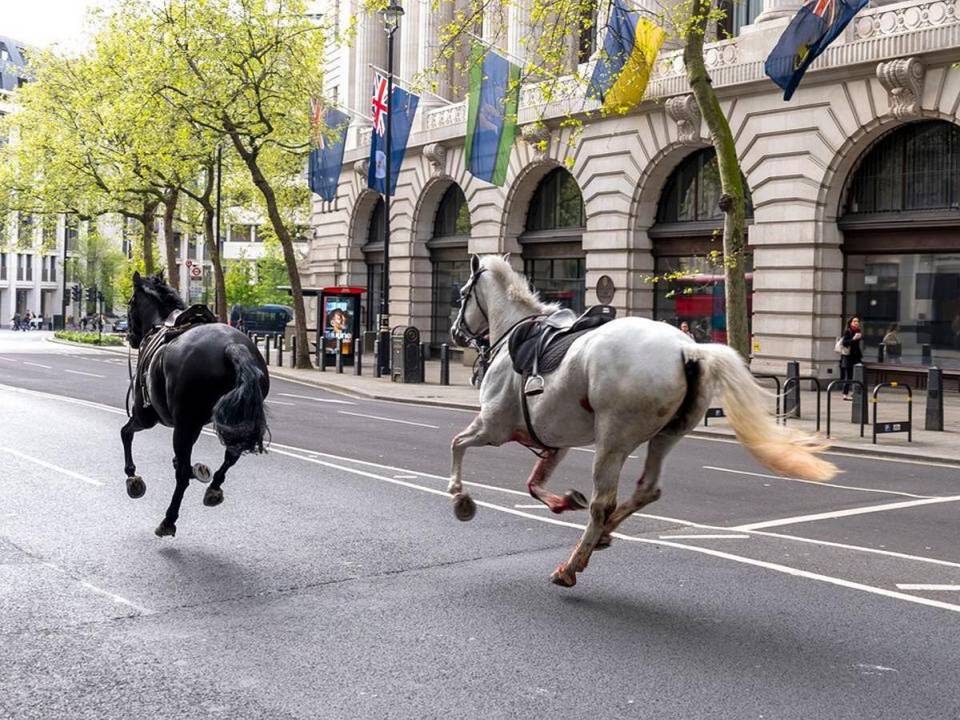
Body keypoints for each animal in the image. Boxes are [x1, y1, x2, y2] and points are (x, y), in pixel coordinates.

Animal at [123, 272, 270, 536]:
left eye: (130, 303)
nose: (130, 337)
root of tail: (232, 346)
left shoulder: (146, 416)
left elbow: (126, 433)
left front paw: (132, 477)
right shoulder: (195, 424)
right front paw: (198, 470)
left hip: (180, 423)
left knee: (182, 475)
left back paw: (168, 520)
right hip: (231, 420)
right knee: (231, 454)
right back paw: (213, 488)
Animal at [446, 256, 836, 588]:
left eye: (462, 295)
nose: (454, 334)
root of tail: (689, 349)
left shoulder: (493, 426)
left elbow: (457, 443)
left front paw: (460, 496)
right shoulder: (555, 440)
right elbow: (534, 484)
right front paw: (562, 501)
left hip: (612, 439)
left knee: (603, 503)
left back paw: (572, 565)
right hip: (666, 434)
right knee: (646, 489)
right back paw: (603, 535)